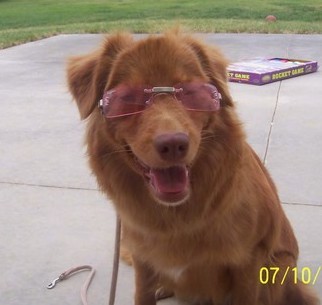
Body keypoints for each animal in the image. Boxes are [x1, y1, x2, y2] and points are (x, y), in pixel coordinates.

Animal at [66, 30, 318, 304]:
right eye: (129, 99)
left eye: (191, 93)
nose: (173, 144)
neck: (178, 217)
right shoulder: (143, 257)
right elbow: (143, 292)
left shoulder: (250, 262)